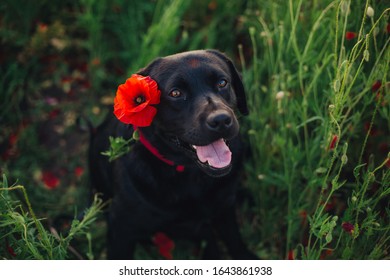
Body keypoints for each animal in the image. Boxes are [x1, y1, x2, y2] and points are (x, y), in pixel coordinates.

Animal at [90, 49, 258, 260]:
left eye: (222, 83)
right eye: (176, 93)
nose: (221, 120)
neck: (190, 175)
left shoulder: (224, 207)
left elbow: (234, 239)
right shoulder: (121, 227)